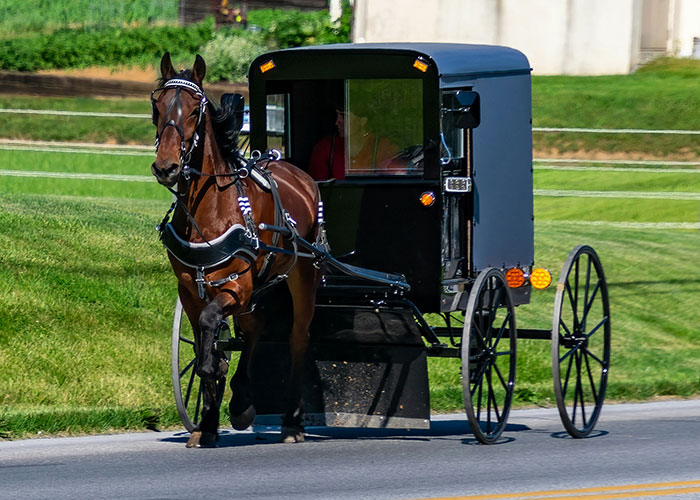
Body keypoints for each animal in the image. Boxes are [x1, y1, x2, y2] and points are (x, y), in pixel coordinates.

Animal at [151, 52, 321, 447]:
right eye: (157, 105)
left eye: (195, 110)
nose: (166, 167)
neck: (207, 208)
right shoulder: (190, 289)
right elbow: (205, 339)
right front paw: (207, 422)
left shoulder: (238, 285)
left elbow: (211, 331)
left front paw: (218, 380)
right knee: (254, 326)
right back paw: (242, 398)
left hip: (303, 274)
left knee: (297, 338)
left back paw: (292, 421)